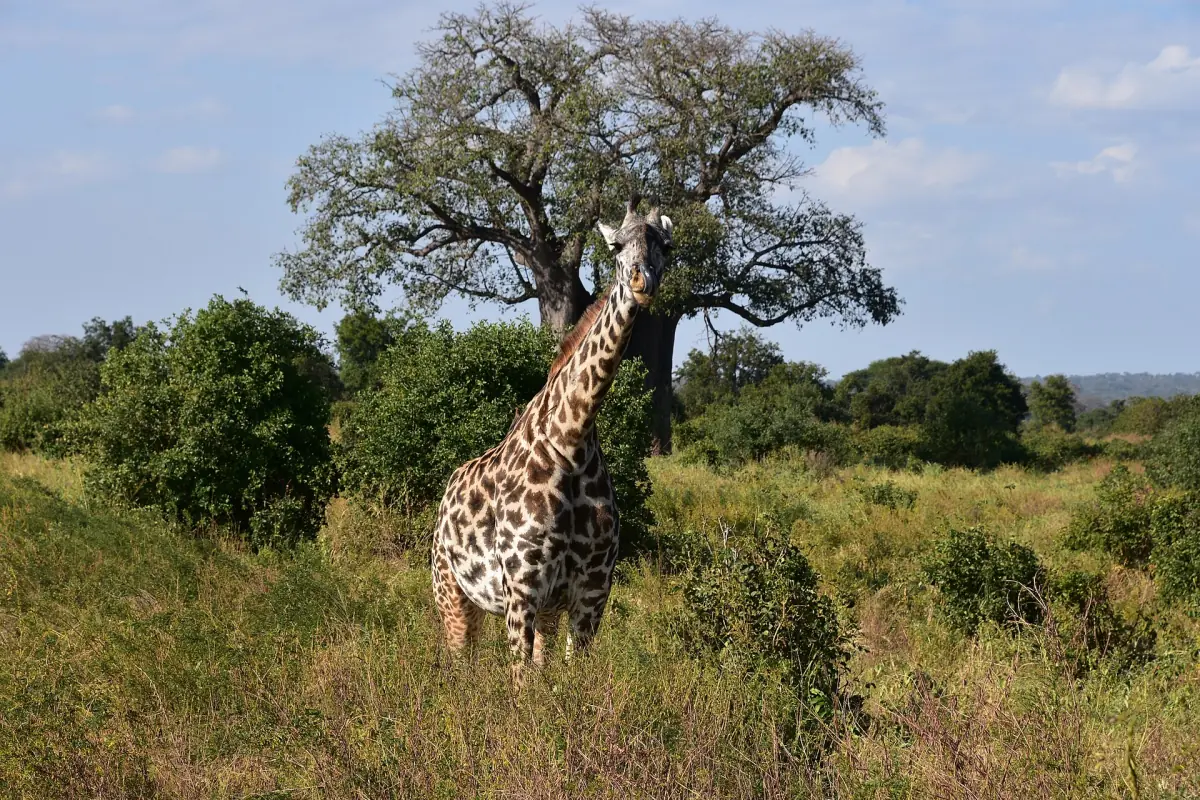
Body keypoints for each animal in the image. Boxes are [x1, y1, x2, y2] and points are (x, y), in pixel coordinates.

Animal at [430, 200, 674, 684]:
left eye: (666, 247)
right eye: (616, 246)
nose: (642, 282)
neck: (572, 439)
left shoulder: (591, 593)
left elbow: (568, 682)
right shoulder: (522, 589)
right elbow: (522, 685)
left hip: (542, 611)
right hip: (452, 595)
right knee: (460, 666)